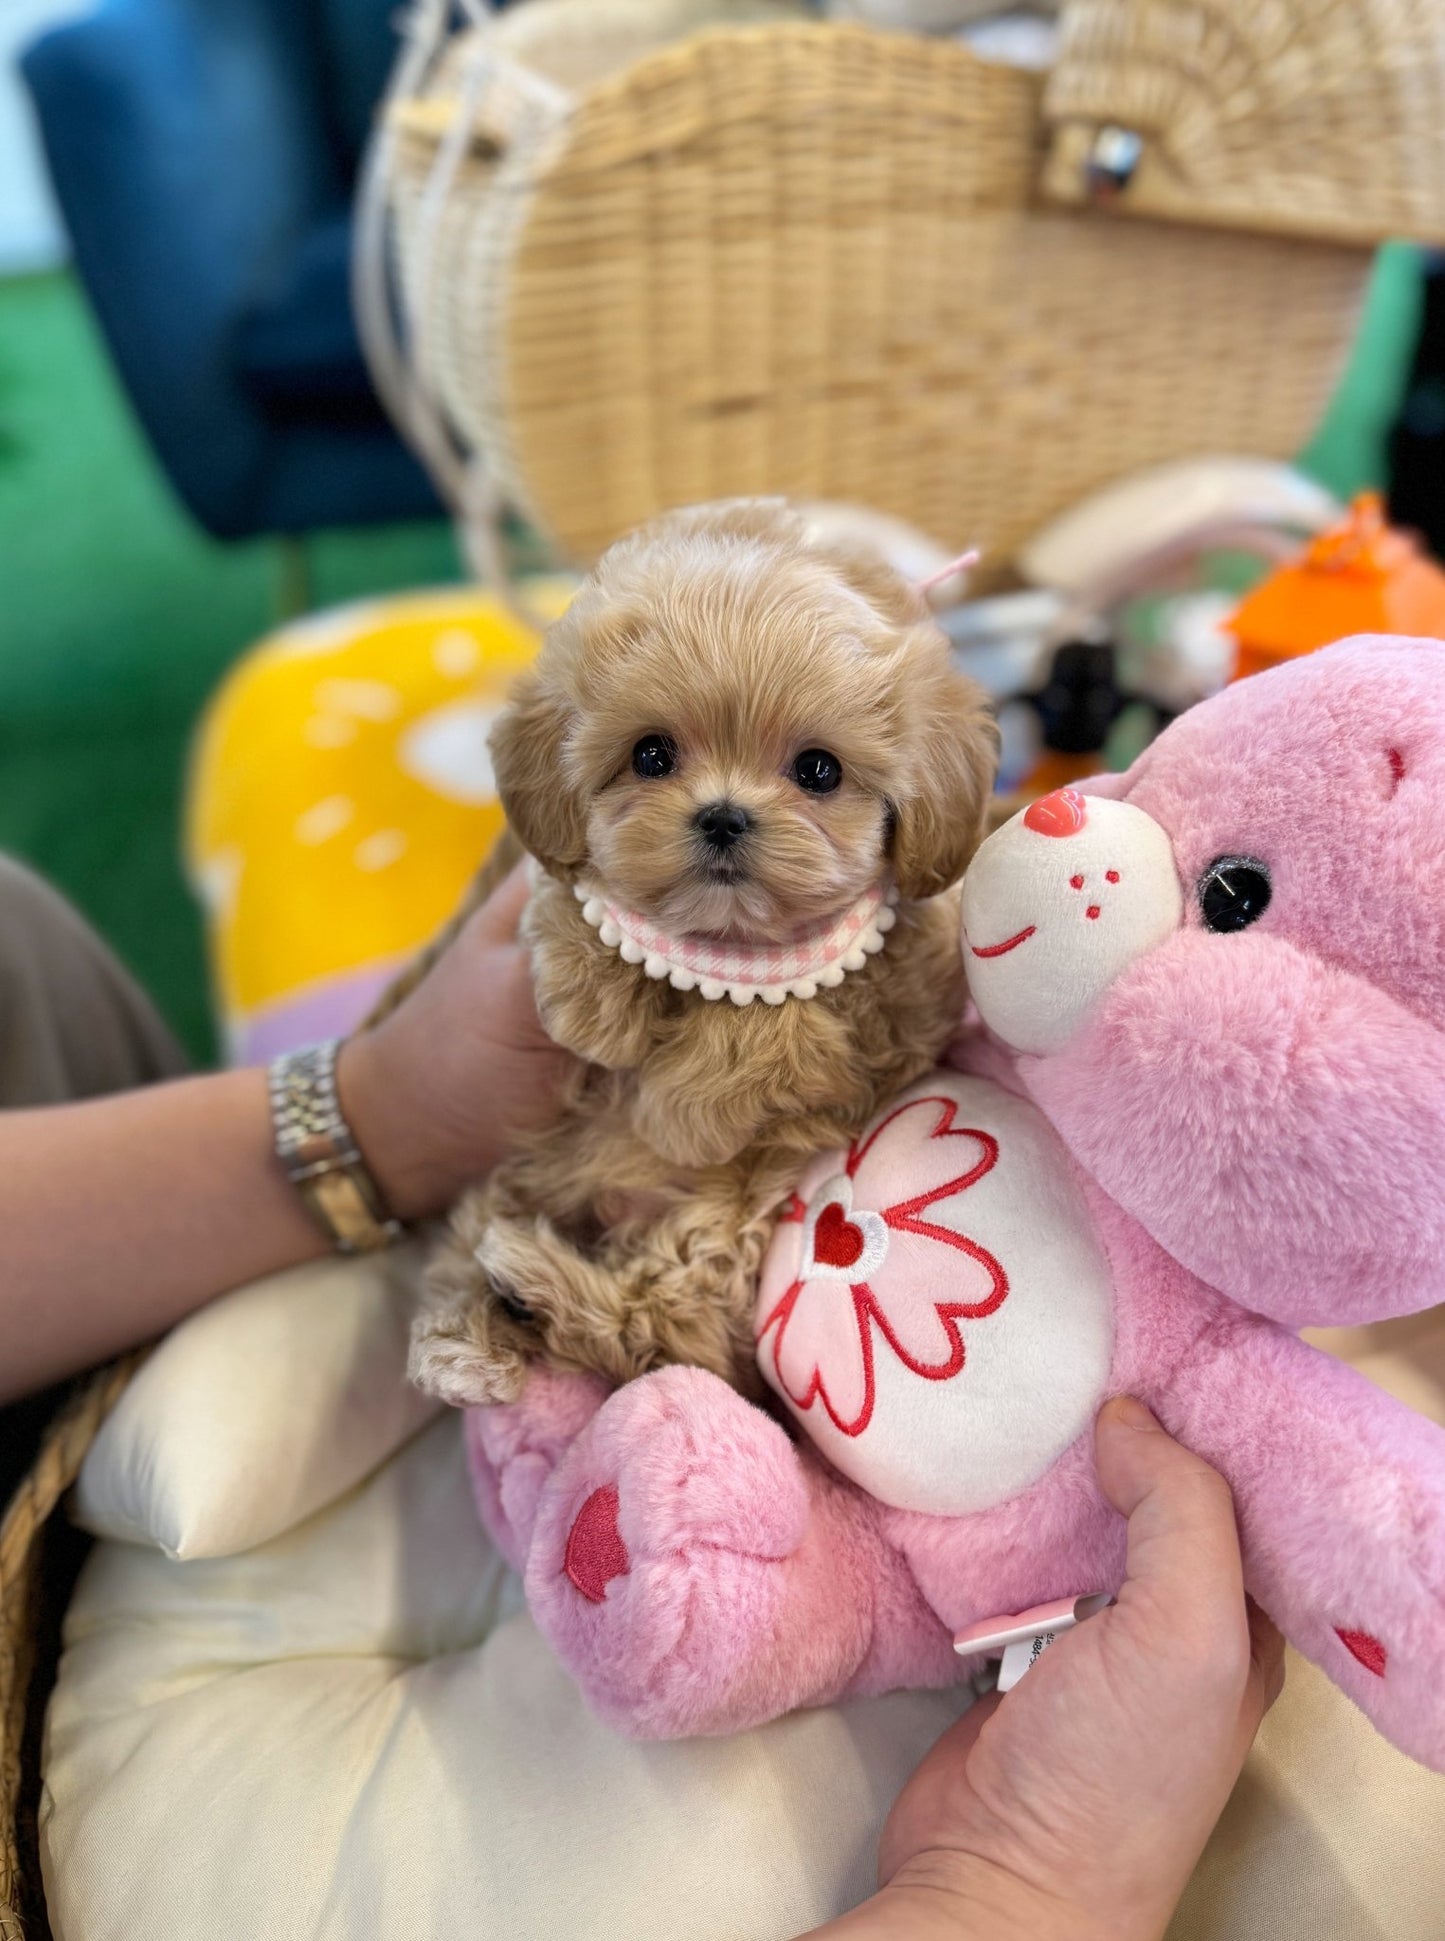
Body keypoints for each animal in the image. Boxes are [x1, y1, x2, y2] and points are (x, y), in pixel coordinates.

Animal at [400, 500, 1002, 1405]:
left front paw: (686, 1106)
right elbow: (572, 895)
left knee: (660, 1329)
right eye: (651, 754)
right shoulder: (536, 878)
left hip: (725, 1224)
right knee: (475, 1258)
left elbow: (785, 1028)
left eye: (817, 769)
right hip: (524, 1176)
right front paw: (594, 1005)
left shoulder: (894, 992)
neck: (725, 943)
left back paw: (534, 1289)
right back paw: (467, 1332)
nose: (722, 816)